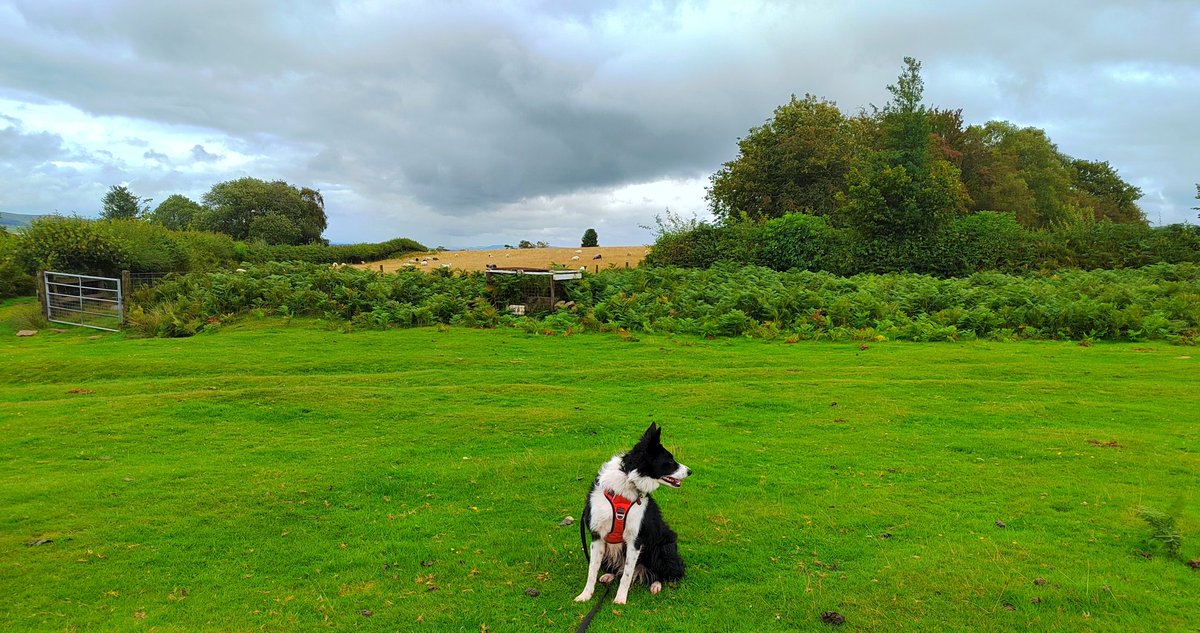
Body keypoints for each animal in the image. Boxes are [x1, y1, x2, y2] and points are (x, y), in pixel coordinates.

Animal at [573, 422, 691, 606]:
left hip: (661, 548)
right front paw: (585, 595)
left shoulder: (635, 540)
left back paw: (656, 585)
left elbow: (627, 575)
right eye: (670, 460)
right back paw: (608, 576)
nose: (690, 471)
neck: (627, 481)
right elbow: (592, 570)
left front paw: (620, 599)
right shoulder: (597, 536)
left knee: (664, 574)